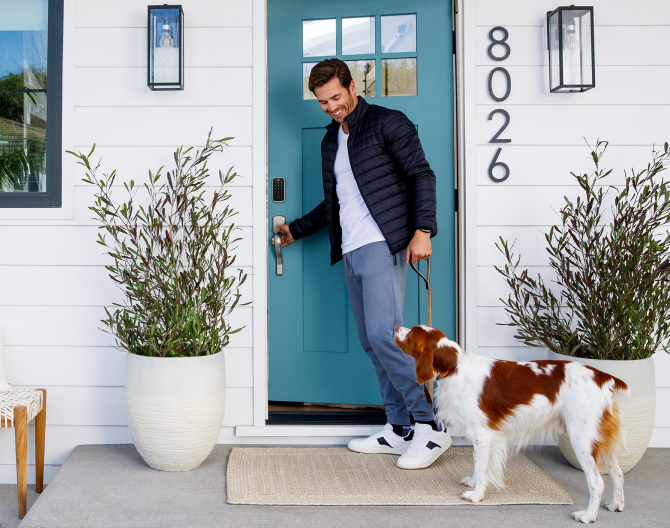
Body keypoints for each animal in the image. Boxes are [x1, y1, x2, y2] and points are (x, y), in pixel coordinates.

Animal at [396, 324, 632, 520]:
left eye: (411, 333)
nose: (397, 327)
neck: (455, 367)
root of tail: (602, 376)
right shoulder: (485, 435)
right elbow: (478, 463)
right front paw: (473, 482)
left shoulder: (482, 434)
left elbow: (480, 465)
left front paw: (476, 495)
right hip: (600, 438)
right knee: (618, 473)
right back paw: (616, 504)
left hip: (582, 439)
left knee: (597, 482)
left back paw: (588, 516)